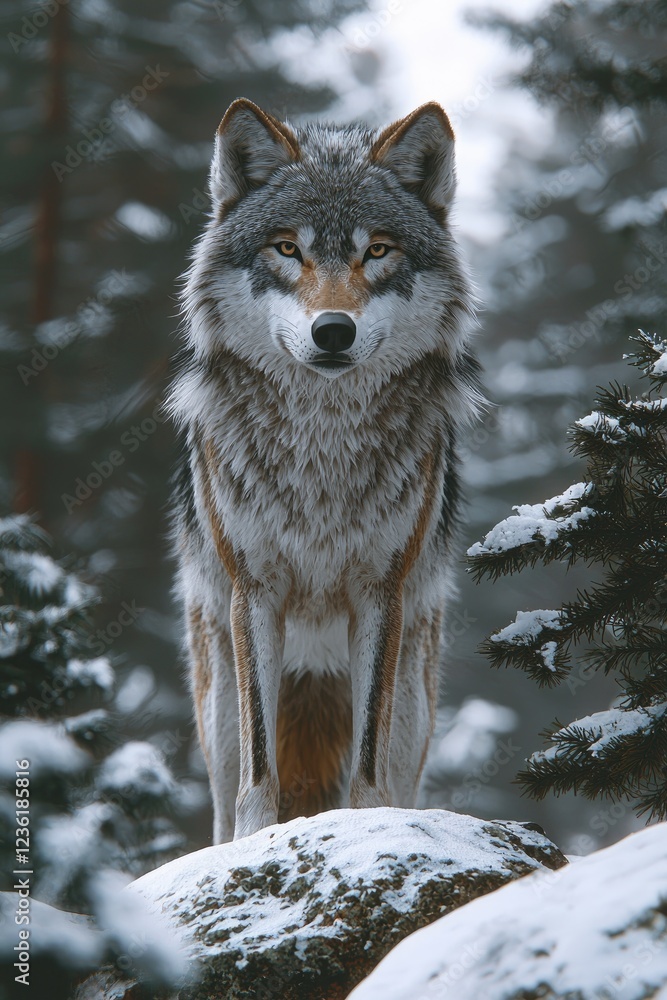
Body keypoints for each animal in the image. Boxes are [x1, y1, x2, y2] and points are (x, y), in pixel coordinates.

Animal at [169, 98, 482, 843]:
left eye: (377, 250)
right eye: (289, 249)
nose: (333, 330)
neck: (322, 448)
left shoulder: (380, 592)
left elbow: (365, 761)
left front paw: (367, 825)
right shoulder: (255, 590)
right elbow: (262, 768)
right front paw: (255, 840)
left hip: (414, 703)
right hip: (216, 705)